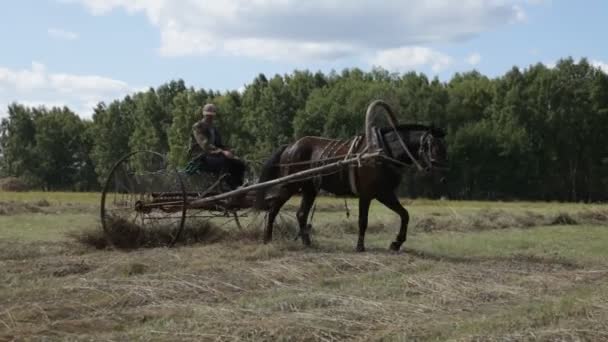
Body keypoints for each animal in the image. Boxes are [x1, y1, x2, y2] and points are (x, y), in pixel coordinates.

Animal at [254, 101, 448, 251]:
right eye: (433, 146)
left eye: (444, 147)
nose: (442, 174)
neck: (383, 151)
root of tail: (290, 146)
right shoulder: (367, 195)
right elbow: (363, 220)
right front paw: (360, 246)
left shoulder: (385, 193)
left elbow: (405, 214)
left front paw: (396, 243)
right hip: (290, 184)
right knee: (273, 209)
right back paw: (267, 239)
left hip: (310, 188)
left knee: (301, 214)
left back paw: (307, 243)